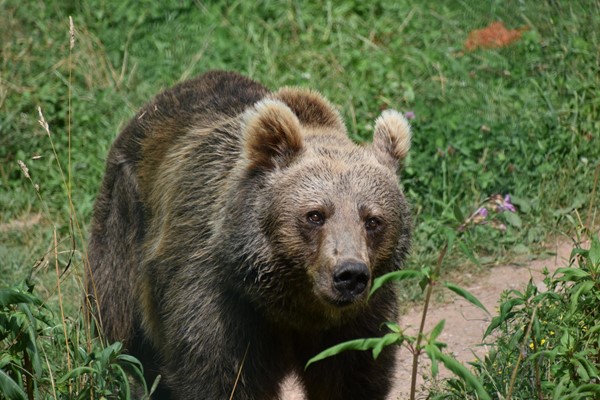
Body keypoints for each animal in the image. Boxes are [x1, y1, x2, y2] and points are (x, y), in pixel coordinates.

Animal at [85, 72, 412, 400]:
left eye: (373, 220)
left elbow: (352, 375)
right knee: (121, 324)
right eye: (315, 214)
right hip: (124, 220)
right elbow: (220, 374)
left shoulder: (361, 315)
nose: (350, 274)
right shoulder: (222, 298)